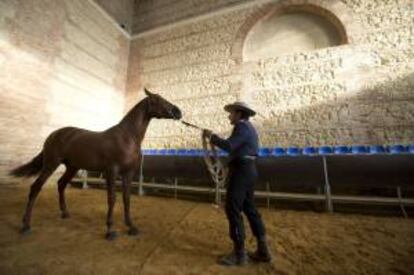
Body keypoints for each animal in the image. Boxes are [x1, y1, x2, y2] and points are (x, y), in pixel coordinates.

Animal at [9, 89, 181, 240]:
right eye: (157, 100)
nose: (178, 112)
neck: (127, 137)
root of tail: (53, 134)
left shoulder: (128, 173)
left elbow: (126, 198)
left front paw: (131, 227)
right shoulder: (112, 171)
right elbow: (112, 198)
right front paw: (110, 230)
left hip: (72, 167)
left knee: (61, 184)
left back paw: (65, 213)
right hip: (51, 164)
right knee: (36, 187)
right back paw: (26, 226)